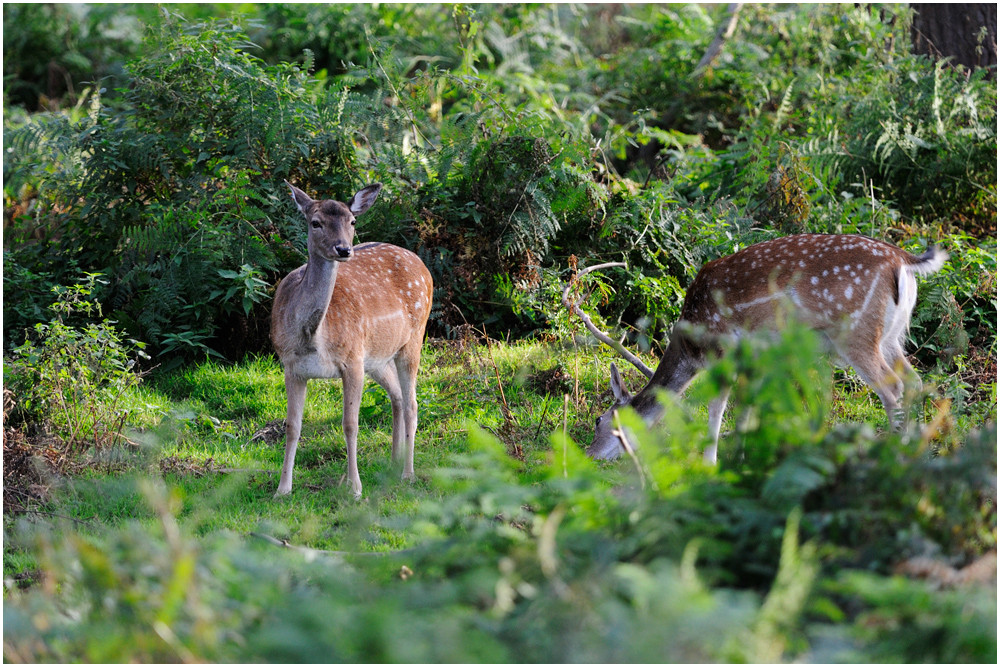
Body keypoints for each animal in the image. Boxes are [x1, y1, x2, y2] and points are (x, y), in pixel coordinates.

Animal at [272, 181, 432, 496]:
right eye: (315, 222)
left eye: (352, 221)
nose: (344, 249)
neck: (313, 337)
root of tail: (423, 266)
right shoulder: (291, 367)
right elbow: (293, 426)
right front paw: (283, 489)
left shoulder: (352, 360)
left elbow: (350, 424)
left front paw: (355, 488)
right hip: (378, 357)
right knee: (396, 396)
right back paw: (392, 463)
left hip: (413, 339)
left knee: (412, 404)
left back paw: (407, 473)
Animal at [580, 236, 944, 464]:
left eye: (599, 420)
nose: (589, 454)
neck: (691, 347)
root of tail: (904, 260)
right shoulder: (755, 357)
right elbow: (746, 407)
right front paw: (739, 457)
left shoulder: (724, 349)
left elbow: (718, 407)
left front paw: (710, 462)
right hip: (892, 337)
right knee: (914, 381)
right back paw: (915, 450)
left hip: (855, 333)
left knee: (892, 390)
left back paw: (893, 452)